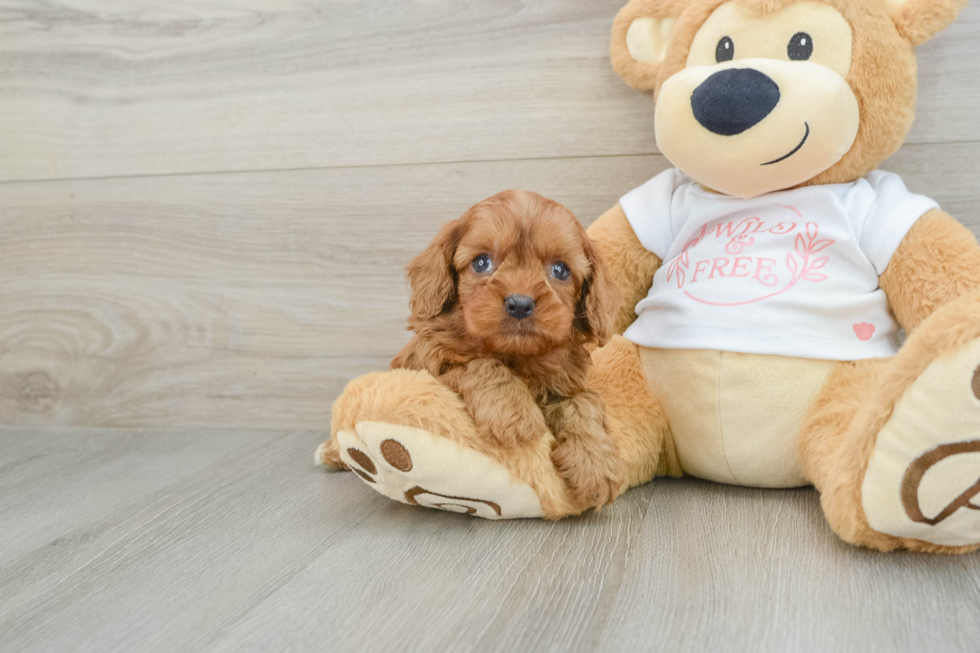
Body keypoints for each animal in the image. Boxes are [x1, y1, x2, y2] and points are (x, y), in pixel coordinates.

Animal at [388, 190, 624, 510]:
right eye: (481, 262)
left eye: (560, 270)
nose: (520, 304)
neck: (516, 357)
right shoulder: (429, 360)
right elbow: (480, 363)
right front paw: (513, 414)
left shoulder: (570, 385)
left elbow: (582, 404)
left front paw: (595, 462)